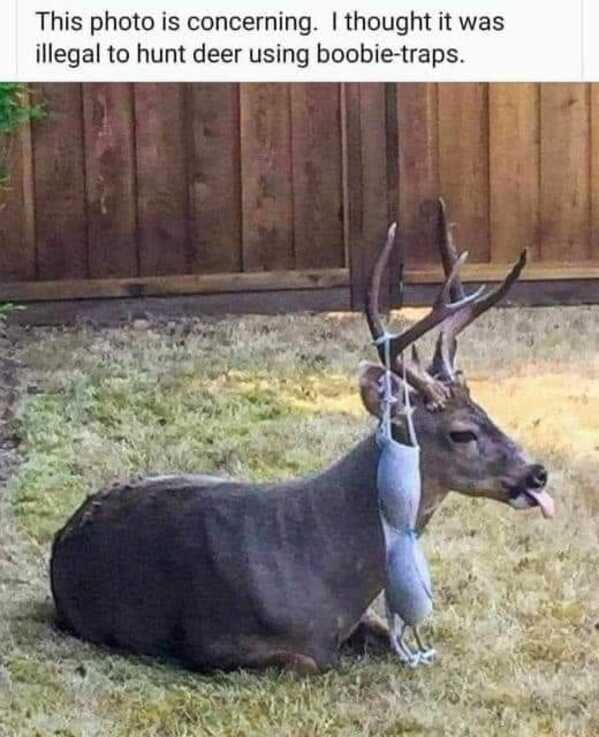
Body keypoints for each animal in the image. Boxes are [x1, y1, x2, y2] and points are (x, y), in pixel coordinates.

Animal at [50, 199, 553, 675]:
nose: (538, 473)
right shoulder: (209, 641)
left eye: (486, 410)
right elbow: (310, 661)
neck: (317, 560)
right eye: (461, 433)